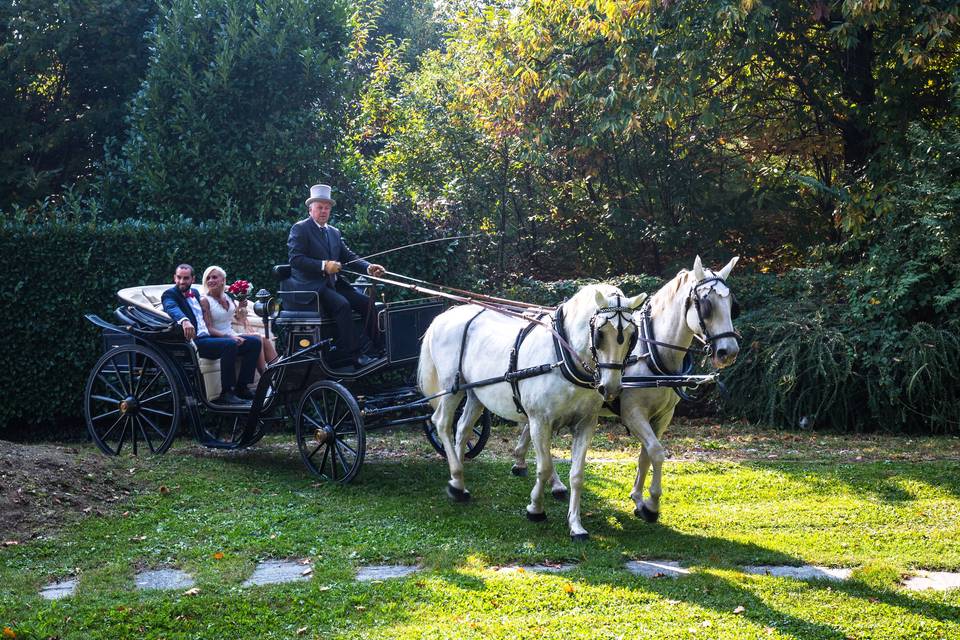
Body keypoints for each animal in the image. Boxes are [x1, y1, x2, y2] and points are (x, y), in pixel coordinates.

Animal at [418, 284, 644, 540]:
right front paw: (536, 508)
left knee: (462, 429)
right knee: (442, 423)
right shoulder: (539, 420)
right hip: (451, 388)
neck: (562, 355)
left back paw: (457, 482)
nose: (611, 388)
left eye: (632, 335)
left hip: (475, 394)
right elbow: (543, 467)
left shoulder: (585, 424)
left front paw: (575, 524)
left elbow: (577, 475)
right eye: (600, 333)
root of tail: (443, 317)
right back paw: (456, 473)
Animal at [510, 258, 744, 524]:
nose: (729, 351)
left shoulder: (663, 416)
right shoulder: (633, 413)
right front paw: (651, 504)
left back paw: (529, 466)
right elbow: (657, 452)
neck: (651, 352)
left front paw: (639, 498)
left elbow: (645, 456)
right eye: (706, 305)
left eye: (732, 305)